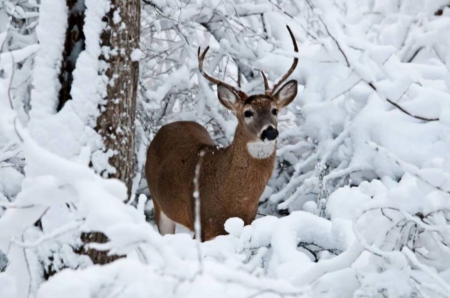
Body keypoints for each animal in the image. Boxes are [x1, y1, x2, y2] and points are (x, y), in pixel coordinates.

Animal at [145, 24, 298, 241]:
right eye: (247, 112)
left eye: (274, 110)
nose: (270, 132)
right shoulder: (200, 223)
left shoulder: (244, 223)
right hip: (159, 202)